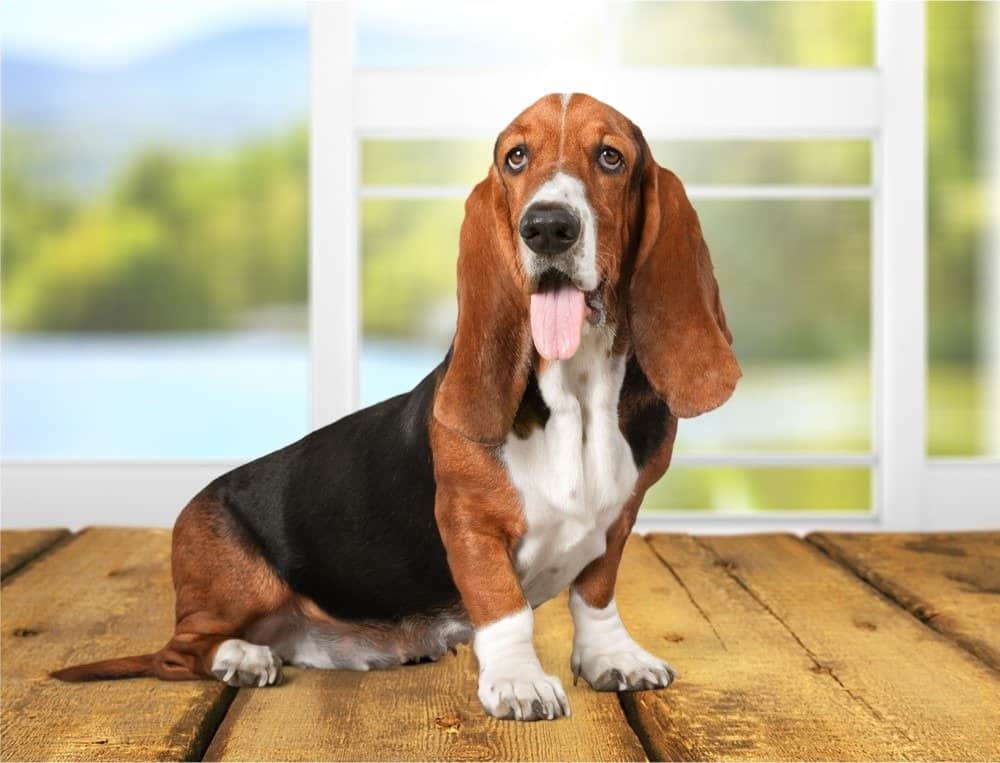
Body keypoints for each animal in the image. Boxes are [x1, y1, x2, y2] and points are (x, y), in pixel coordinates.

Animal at [56, 92, 744, 720]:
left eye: (611, 157)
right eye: (516, 158)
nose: (547, 226)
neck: (576, 395)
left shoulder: (619, 518)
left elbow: (595, 596)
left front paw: (612, 660)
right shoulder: (469, 524)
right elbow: (505, 608)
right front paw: (518, 681)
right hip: (232, 586)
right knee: (181, 652)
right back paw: (242, 657)